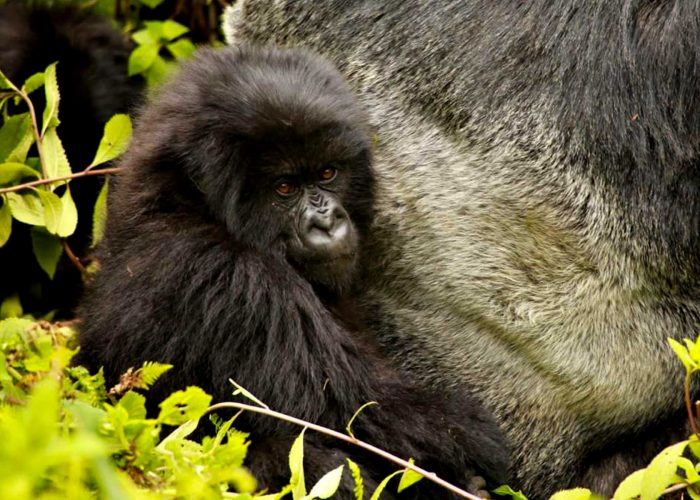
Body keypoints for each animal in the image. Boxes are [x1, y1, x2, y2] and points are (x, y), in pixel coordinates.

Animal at [74, 45, 510, 497]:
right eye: (284, 188)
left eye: (327, 173)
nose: (327, 222)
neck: (184, 202)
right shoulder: (238, 283)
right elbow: (363, 417)